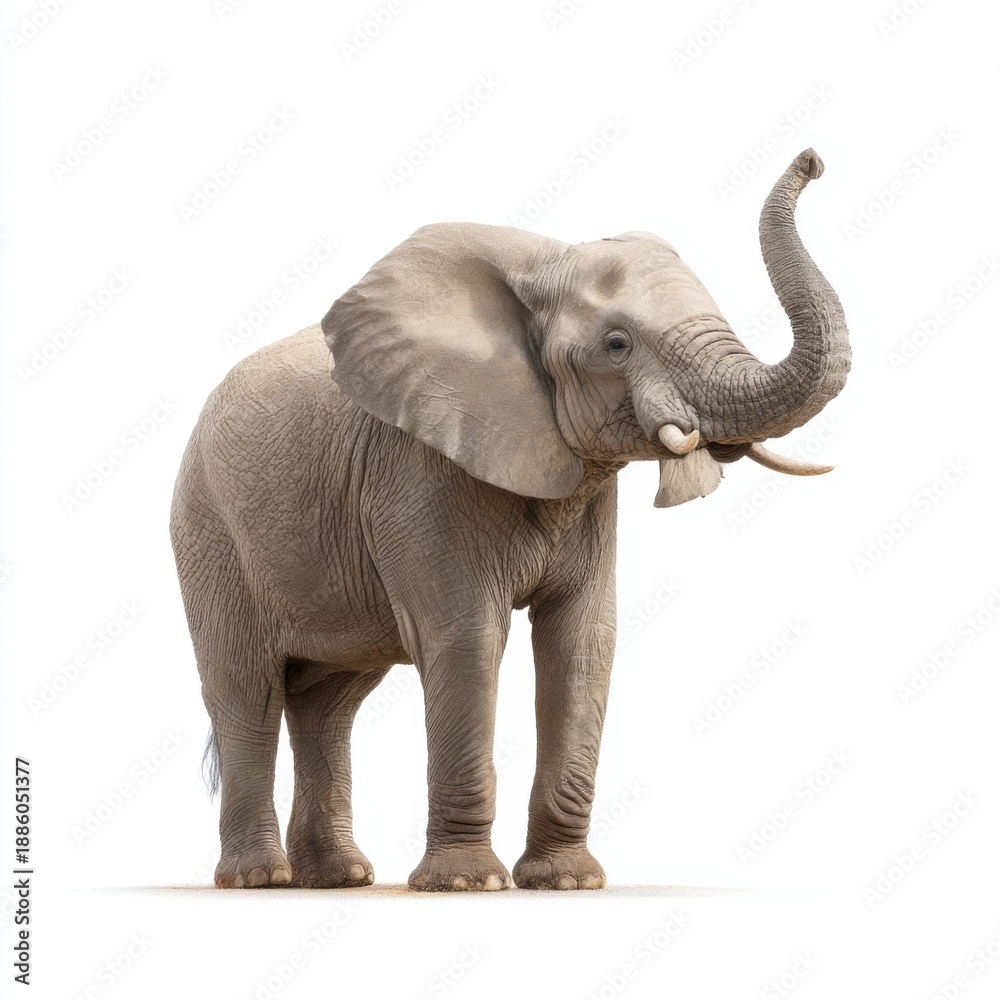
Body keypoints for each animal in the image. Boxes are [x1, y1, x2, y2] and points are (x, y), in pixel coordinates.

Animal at [170, 148, 850, 891]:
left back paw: (340, 877)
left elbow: (584, 641)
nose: (813, 160)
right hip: (209, 531)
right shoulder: (420, 471)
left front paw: (567, 882)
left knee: (330, 702)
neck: (542, 263)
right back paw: (261, 879)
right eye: (617, 344)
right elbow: (466, 638)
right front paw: (469, 885)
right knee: (246, 691)